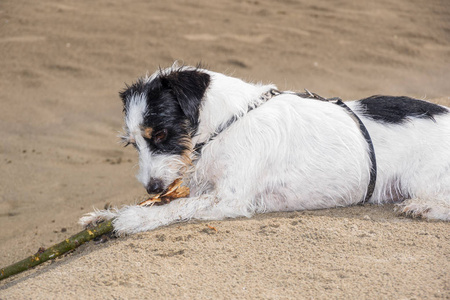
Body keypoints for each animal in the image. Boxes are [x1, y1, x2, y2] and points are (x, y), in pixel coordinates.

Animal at [80, 64, 450, 236]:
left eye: (160, 134)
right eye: (133, 143)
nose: (151, 186)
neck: (225, 124)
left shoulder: (227, 199)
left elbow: (175, 207)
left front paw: (133, 218)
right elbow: (171, 202)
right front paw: (105, 215)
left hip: (424, 179)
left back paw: (424, 207)